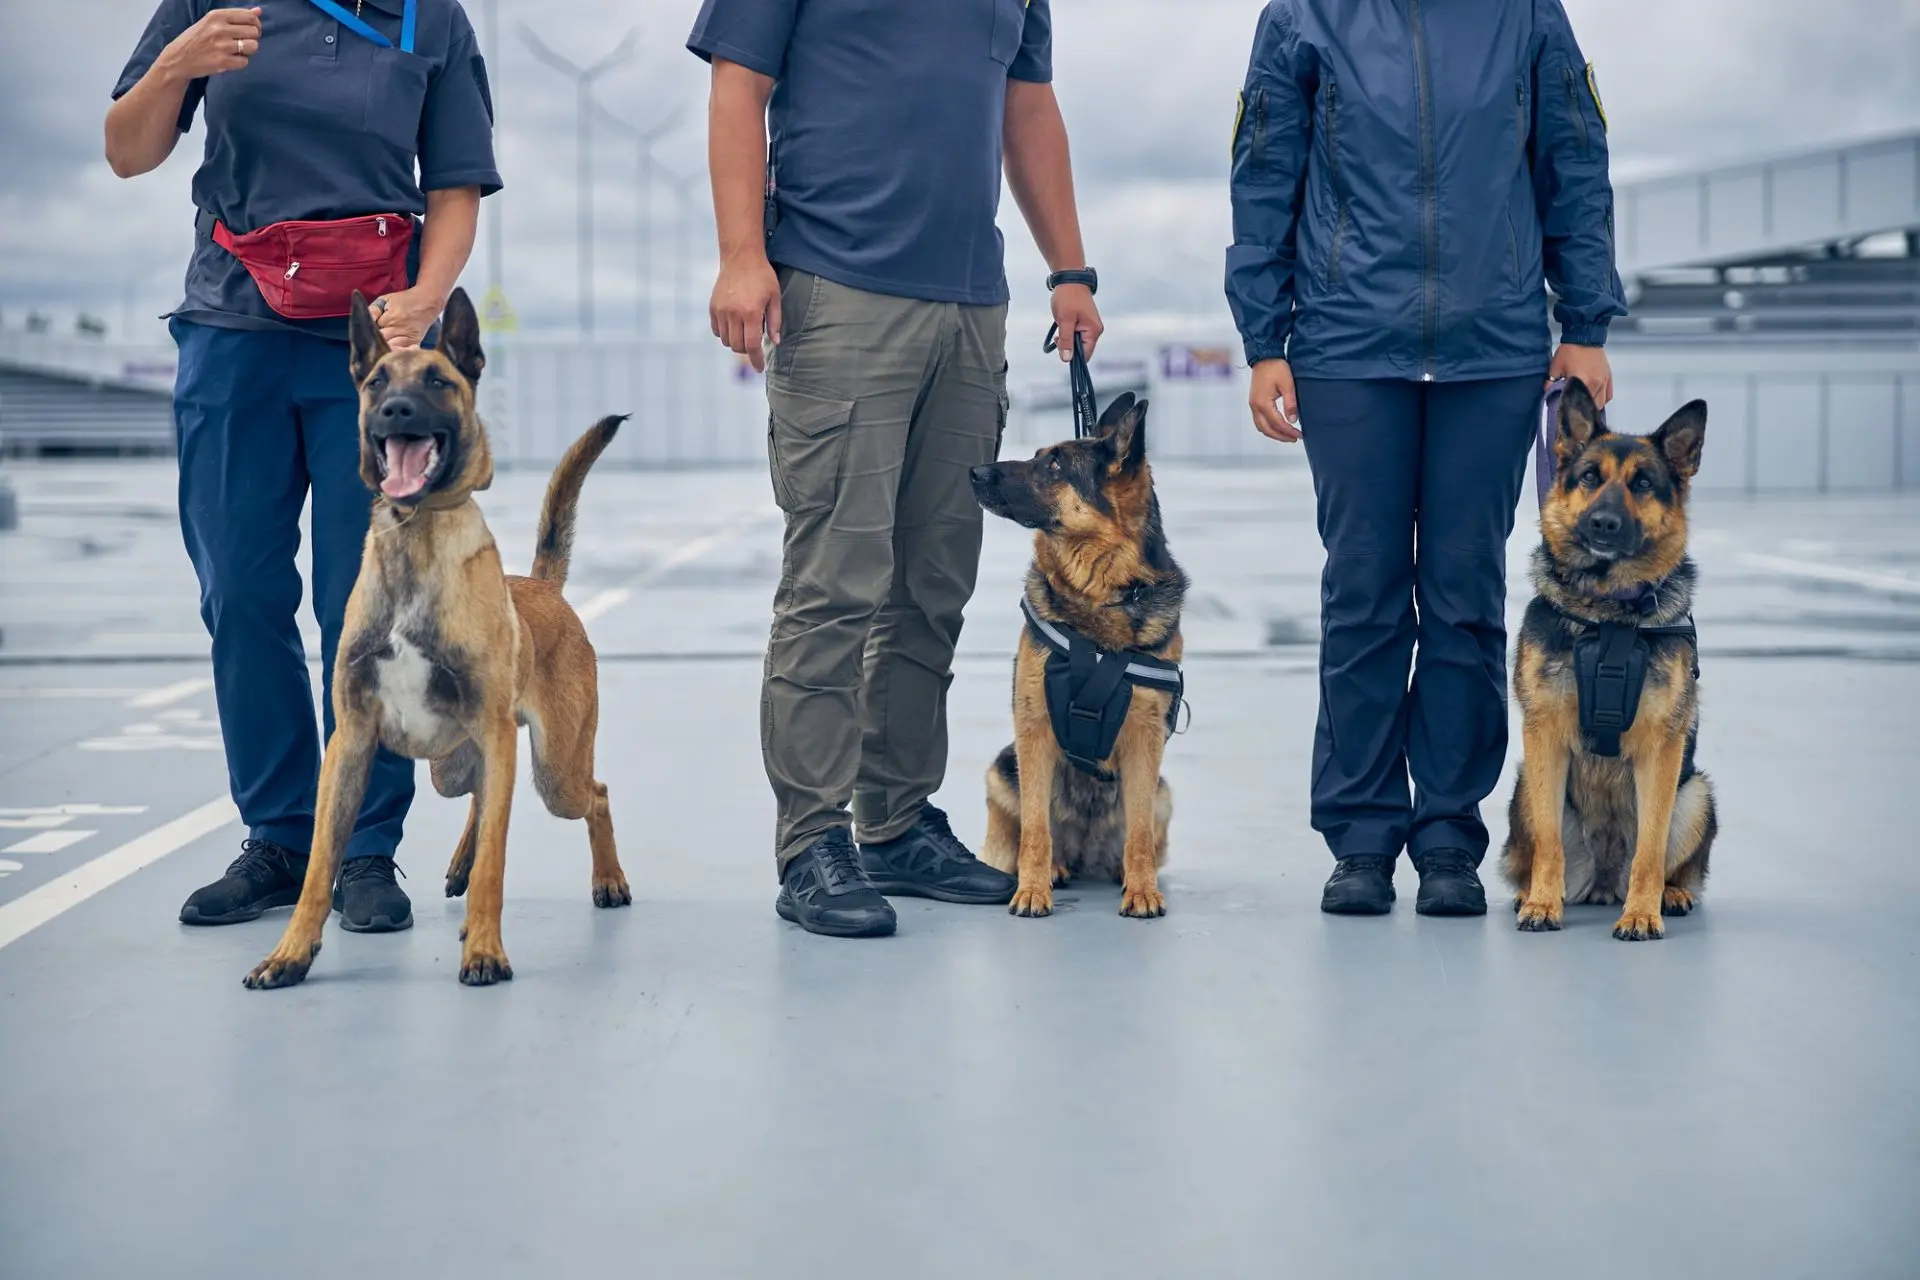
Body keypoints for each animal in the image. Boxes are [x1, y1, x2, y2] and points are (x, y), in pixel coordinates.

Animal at [243, 287, 625, 990]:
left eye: (437, 382)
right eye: (375, 382)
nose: (395, 409)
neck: (414, 535)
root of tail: (543, 587)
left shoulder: (495, 734)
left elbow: (497, 861)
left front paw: (486, 951)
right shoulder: (351, 742)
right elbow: (317, 868)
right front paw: (290, 954)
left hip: (554, 769)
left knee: (594, 796)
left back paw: (607, 879)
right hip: (455, 764)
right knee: (478, 795)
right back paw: (460, 863)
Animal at [975, 395, 1182, 917]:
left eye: (1054, 464)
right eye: (1039, 456)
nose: (974, 470)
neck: (1099, 594)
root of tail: (1086, 852)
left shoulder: (1146, 736)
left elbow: (1140, 833)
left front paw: (1142, 890)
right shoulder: (1033, 728)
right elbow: (1035, 827)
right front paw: (1032, 889)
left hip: (1163, 791)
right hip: (1002, 771)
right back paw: (1051, 869)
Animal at [1505, 379, 1720, 940]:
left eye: (1643, 483)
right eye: (1589, 477)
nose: (1603, 523)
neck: (1608, 612)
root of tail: (1602, 881)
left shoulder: (1661, 748)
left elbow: (1650, 848)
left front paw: (1642, 914)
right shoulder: (1544, 736)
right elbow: (1549, 845)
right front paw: (1542, 905)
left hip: (1697, 794)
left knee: (1671, 861)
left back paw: (1671, 895)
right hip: (1524, 788)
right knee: (1534, 852)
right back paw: (1529, 894)